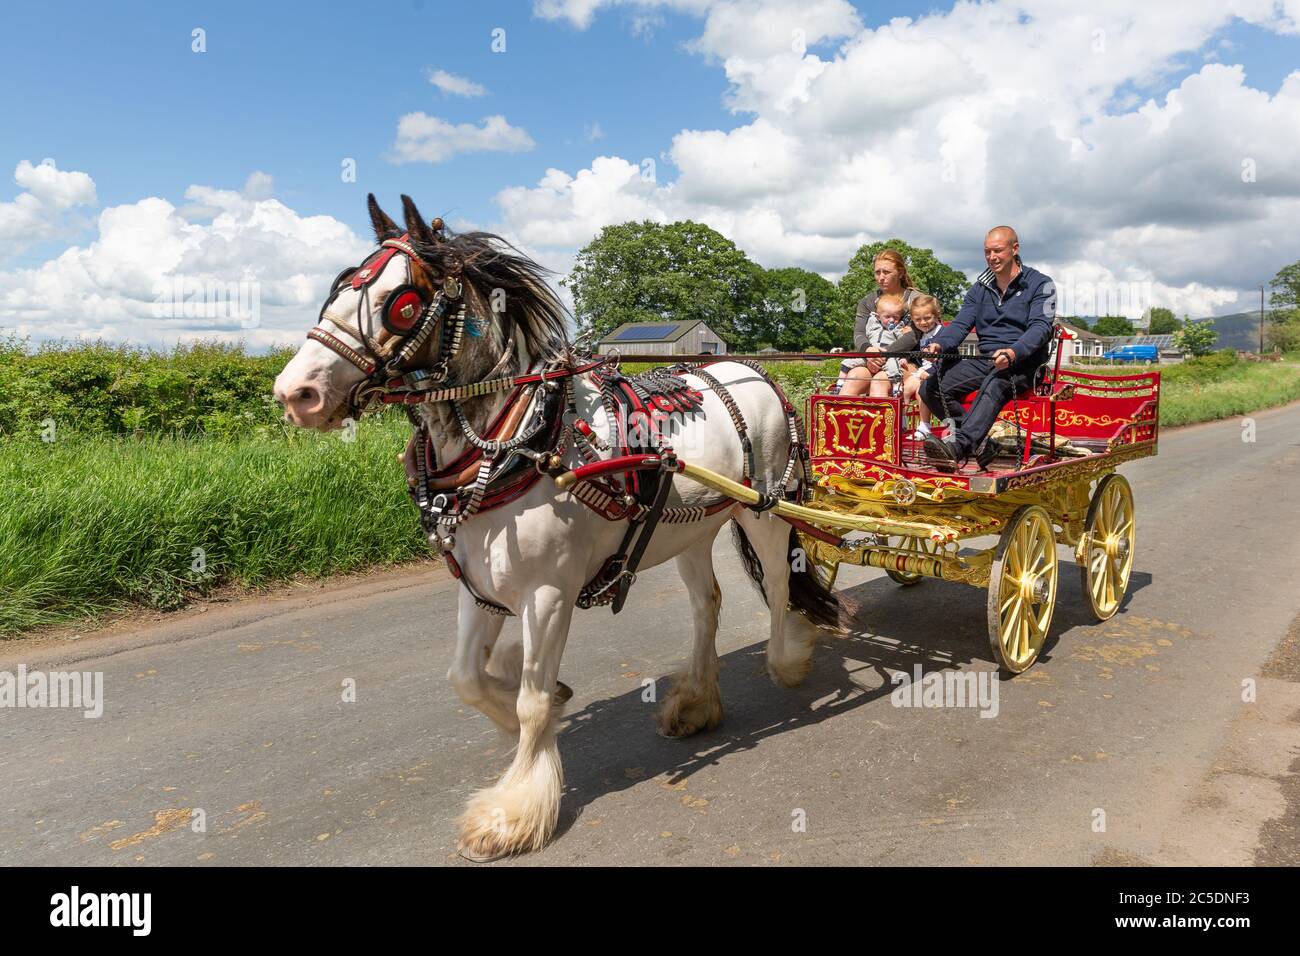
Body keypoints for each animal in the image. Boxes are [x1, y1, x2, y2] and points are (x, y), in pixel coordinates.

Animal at [273, 195, 842, 858]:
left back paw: (787, 659)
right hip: (690, 528)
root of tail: (758, 373)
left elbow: (532, 702)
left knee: (776, 585)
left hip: (765, 510)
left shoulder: (548, 594)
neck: (522, 441)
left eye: (403, 301)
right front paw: (533, 703)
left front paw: (512, 811)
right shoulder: (482, 588)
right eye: (338, 288)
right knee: (708, 603)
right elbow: (466, 678)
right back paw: (698, 700)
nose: (295, 392)